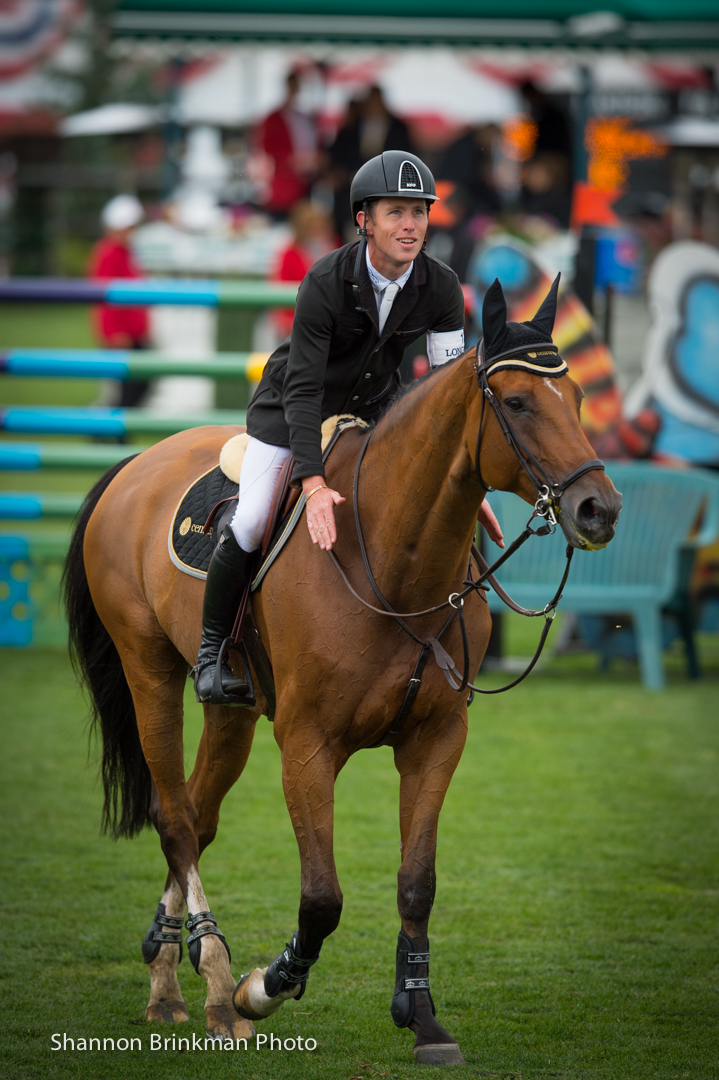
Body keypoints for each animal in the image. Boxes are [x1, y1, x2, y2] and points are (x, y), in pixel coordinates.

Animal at [64, 282, 617, 1067]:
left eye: (576, 396)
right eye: (515, 402)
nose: (599, 509)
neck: (391, 556)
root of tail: (138, 462)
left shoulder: (436, 741)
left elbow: (417, 884)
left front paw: (421, 1018)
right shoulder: (307, 747)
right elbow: (322, 898)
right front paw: (263, 987)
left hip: (232, 711)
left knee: (198, 817)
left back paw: (169, 971)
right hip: (149, 672)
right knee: (174, 819)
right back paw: (212, 980)